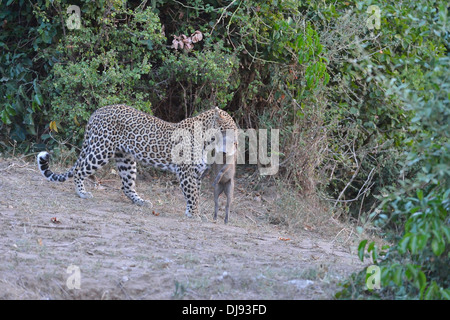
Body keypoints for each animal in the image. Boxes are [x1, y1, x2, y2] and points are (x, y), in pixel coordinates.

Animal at [37, 104, 239, 218]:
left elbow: (193, 194)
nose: (237, 142)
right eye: (231, 128)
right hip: (101, 150)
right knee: (80, 170)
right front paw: (196, 215)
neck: (208, 139)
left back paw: (141, 202)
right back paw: (82, 193)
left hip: (125, 159)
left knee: (126, 186)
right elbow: (193, 195)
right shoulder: (186, 171)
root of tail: (97, 112)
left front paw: (191, 213)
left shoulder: (195, 173)